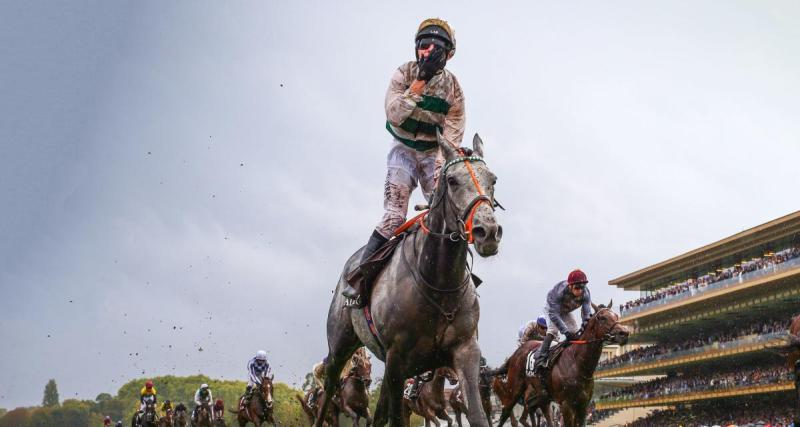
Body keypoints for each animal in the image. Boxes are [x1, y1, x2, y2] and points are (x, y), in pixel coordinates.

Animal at [318, 132, 500, 426]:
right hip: (339, 348)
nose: (489, 232)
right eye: (452, 181)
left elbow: (476, 414)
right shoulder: (397, 360)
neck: (439, 284)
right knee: (328, 394)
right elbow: (396, 418)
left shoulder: (465, 350)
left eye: (493, 180)